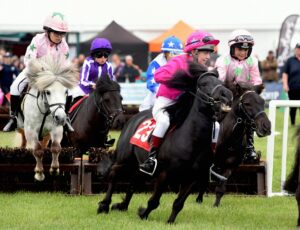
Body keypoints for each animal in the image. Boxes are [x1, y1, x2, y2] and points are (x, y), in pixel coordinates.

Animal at [96, 63, 232, 223]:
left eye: (220, 82)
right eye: (204, 84)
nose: (226, 94)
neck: (191, 139)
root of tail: (133, 118)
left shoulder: (191, 178)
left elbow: (178, 203)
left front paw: (170, 221)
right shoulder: (164, 173)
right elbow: (154, 201)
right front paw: (143, 213)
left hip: (138, 164)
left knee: (134, 182)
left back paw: (122, 206)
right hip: (125, 158)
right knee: (114, 174)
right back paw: (104, 205)